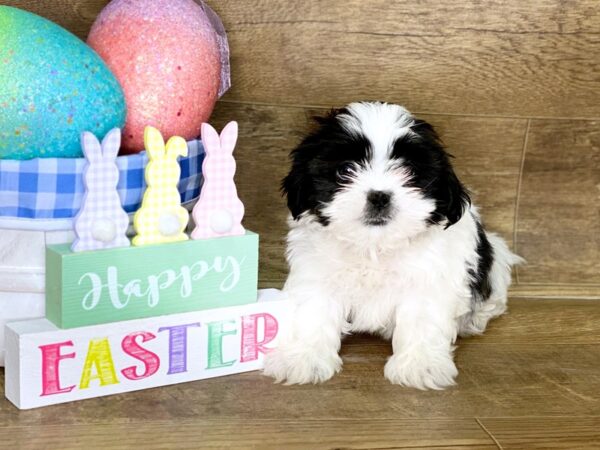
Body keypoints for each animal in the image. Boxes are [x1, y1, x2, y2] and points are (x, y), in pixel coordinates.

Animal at [264, 100, 524, 388]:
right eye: (346, 170)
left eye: (408, 171)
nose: (379, 196)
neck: (375, 246)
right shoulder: (317, 271)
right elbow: (313, 312)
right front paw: (303, 357)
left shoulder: (429, 278)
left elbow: (422, 319)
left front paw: (421, 364)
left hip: (495, 259)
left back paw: (473, 319)